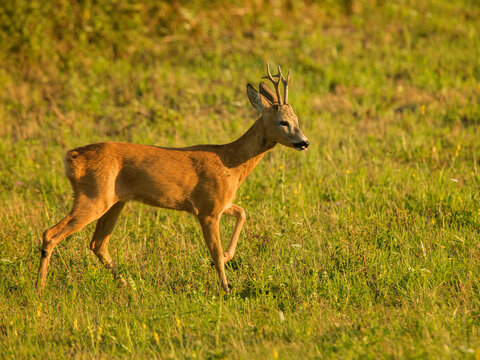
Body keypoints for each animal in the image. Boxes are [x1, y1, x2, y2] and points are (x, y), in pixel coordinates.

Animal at [36, 63, 308, 292]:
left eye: (297, 120)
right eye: (283, 122)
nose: (304, 142)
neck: (230, 162)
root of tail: (72, 157)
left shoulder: (220, 204)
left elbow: (242, 213)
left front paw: (228, 260)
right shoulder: (207, 209)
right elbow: (215, 250)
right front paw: (226, 288)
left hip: (114, 201)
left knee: (97, 244)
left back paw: (127, 284)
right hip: (93, 196)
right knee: (51, 233)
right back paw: (39, 287)